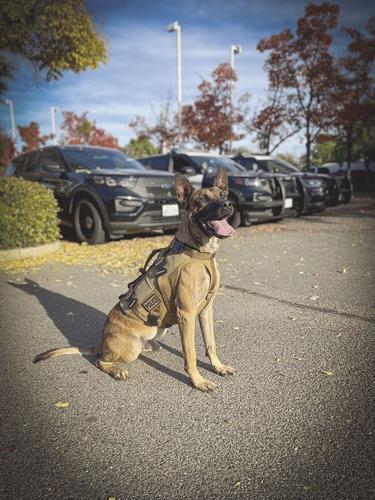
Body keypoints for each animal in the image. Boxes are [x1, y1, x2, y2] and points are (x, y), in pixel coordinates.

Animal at [34, 168, 235, 390]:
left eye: (223, 195)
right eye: (203, 199)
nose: (227, 204)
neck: (199, 252)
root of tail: (102, 340)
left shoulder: (206, 310)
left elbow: (211, 343)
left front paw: (218, 367)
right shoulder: (187, 314)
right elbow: (190, 353)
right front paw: (198, 381)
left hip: (154, 339)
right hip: (128, 349)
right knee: (100, 360)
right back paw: (117, 370)